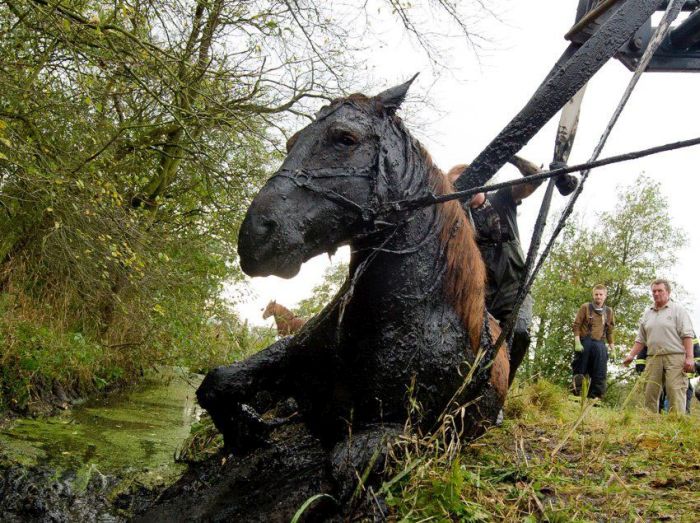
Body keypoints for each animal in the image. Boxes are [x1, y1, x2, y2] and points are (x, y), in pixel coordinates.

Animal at [197, 77, 508, 504]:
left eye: (345, 138)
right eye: (291, 141)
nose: (254, 237)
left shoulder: (402, 431)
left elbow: (339, 472)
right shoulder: (290, 353)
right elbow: (217, 382)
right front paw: (246, 432)